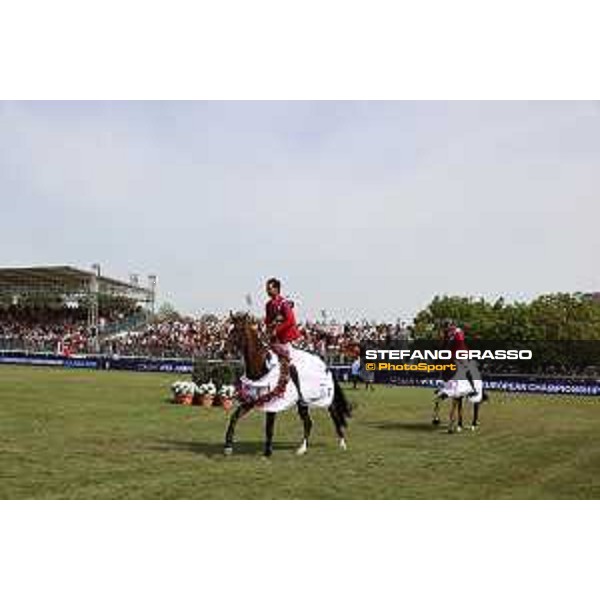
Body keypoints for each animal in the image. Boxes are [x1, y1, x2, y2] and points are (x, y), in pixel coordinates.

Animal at [223, 312, 350, 458]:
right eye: (228, 330)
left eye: (238, 330)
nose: (224, 353)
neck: (262, 366)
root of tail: (325, 366)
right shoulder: (252, 400)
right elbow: (234, 418)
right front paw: (228, 447)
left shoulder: (272, 401)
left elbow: (269, 427)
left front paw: (267, 452)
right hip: (302, 402)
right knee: (308, 422)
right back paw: (302, 449)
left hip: (325, 399)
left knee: (334, 416)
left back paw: (342, 444)